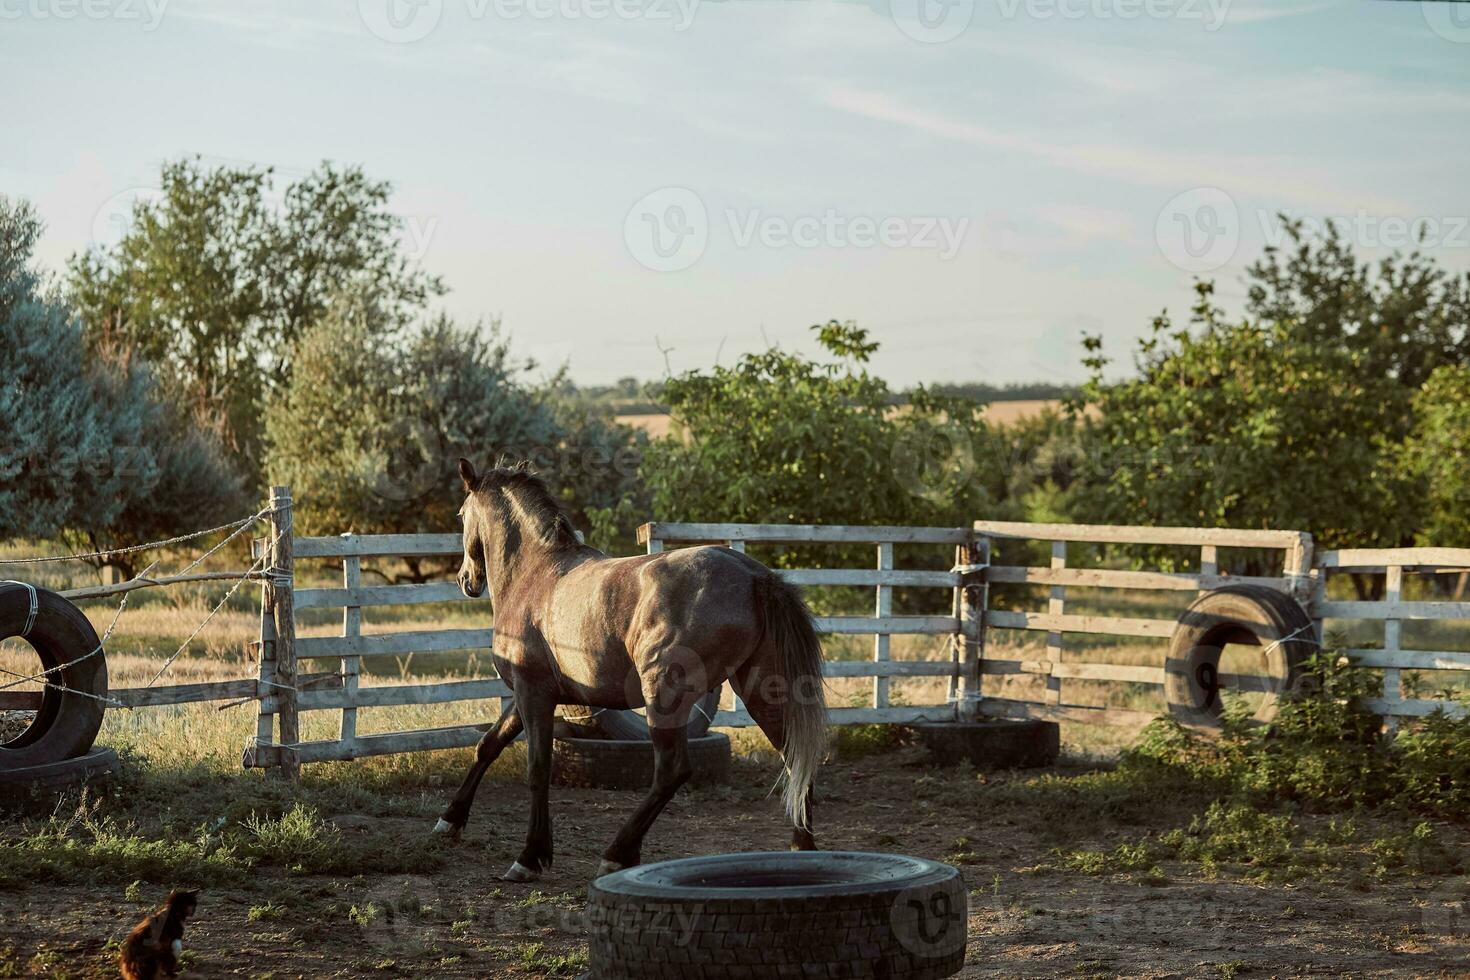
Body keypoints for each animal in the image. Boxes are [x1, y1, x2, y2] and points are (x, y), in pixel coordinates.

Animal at [432, 461, 829, 881]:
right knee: (795, 757)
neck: (536, 573)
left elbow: (537, 769)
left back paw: (618, 853)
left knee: (671, 771)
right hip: (762, 692)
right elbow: (488, 745)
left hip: (664, 696)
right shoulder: (531, 695)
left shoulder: (533, 693)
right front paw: (450, 821)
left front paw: (530, 857)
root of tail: (754, 576)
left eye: (461, 514)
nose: (466, 580)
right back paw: (803, 848)